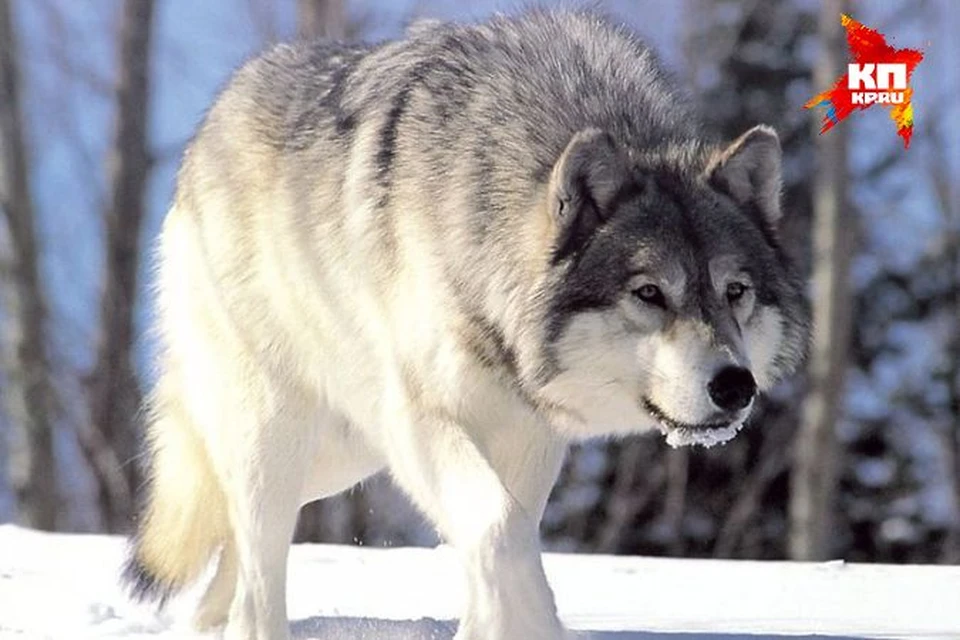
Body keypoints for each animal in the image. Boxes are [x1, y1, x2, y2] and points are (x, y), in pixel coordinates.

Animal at [120, 6, 808, 640]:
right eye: (649, 293)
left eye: (735, 292)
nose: (735, 386)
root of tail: (212, 121)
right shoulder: (422, 419)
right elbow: (502, 531)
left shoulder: (529, 434)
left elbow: (502, 544)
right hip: (283, 433)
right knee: (258, 566)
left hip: (344, 455)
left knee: (233, 545)